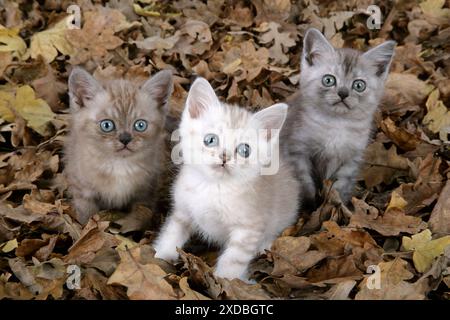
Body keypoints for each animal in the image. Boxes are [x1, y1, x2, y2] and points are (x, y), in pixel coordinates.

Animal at [65, 68, 172, 224]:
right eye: (106, 125)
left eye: (140, 125)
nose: (125, 139)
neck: (119, 165)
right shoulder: (81, 187)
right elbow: (87, 214)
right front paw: (85, 226)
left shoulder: (146, 192)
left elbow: (140, 215)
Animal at [153, 77, 300, 280]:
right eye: (210, 140)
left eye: (245, 150)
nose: (224, 157)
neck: (214, 187)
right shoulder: (182, 210)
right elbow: (172, 232)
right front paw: (160, 256)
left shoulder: (249, 228)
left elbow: (233, 260)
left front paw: (226, 280)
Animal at [284, 28, 396, 210]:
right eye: (328, 80)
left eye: (359, 85)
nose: (343, 93)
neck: (336, 124)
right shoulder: (297, 151)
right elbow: (305, 184)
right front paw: (310, 206)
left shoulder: (351, 161)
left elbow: (339, 188)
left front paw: (338, 208)